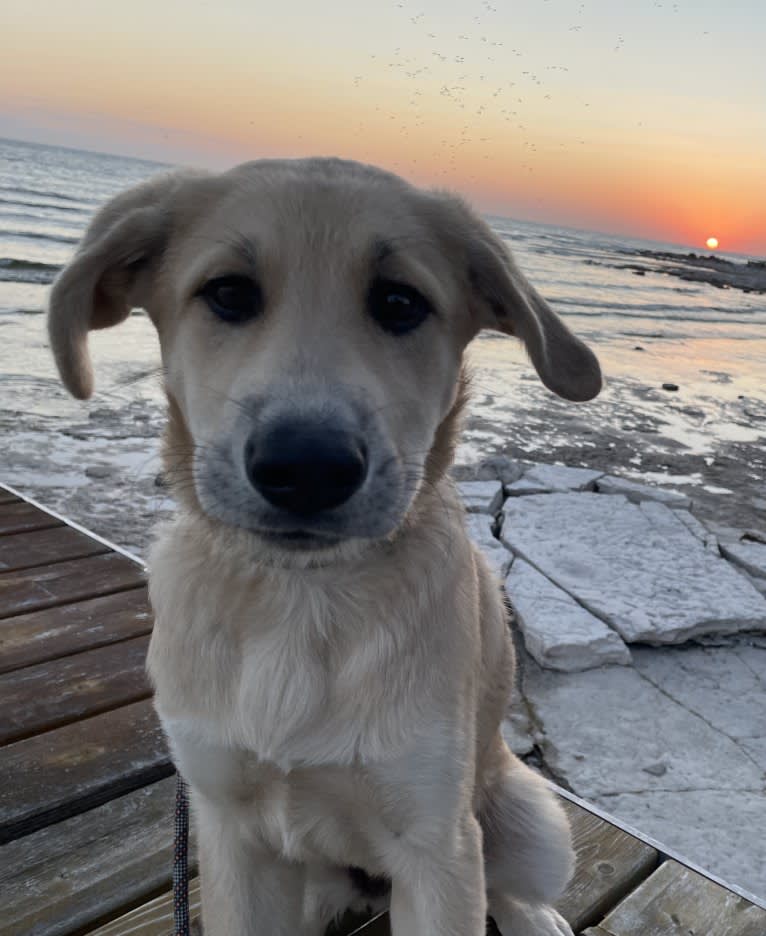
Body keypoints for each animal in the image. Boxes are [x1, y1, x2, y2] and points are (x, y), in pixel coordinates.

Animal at [48, 157, 604, 932]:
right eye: (228, 293)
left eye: (400, 302)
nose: (307, 465)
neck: (301, 595)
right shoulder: (230, 833)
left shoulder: (438, 846)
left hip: (527, 820)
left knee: (507, 883)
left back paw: (537, 917)